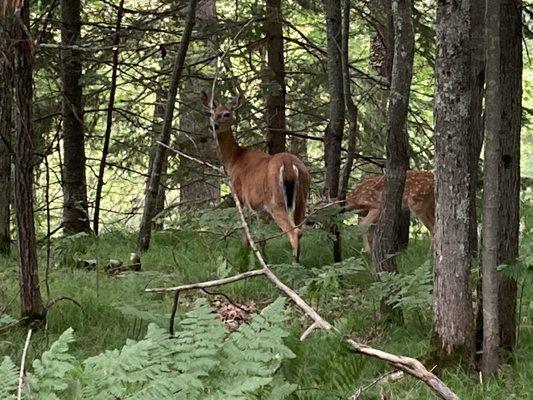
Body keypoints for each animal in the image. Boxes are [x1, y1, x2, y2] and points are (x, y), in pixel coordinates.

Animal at [200, 90, 310, 262]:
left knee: (294, 232)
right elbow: (262, 238)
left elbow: (246, 236)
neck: (233, 159)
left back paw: (293, 264)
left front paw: (246, 259)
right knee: (300, 228)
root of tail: (288, 164)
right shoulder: (260, 209)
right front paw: (264, 258)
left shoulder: (241, 197)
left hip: (276, 200)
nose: (213, 126)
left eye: (226, 114)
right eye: (211, 113)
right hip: (301, 198)